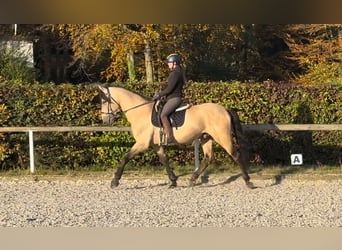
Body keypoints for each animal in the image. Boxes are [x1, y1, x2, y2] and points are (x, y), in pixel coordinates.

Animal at [97, 85, 252, 188]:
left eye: (104, 101)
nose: (105, 121)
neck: (140, 112)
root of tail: (224, 109)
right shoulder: (156, 145)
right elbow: (164, 160)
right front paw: (173, 180)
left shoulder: (142, 143)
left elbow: (125, 158)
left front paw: (115, 181)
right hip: (206, 138)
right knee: (208, 158)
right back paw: (192, 179)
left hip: (222, 137)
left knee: (235, 155)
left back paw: (248, 181)